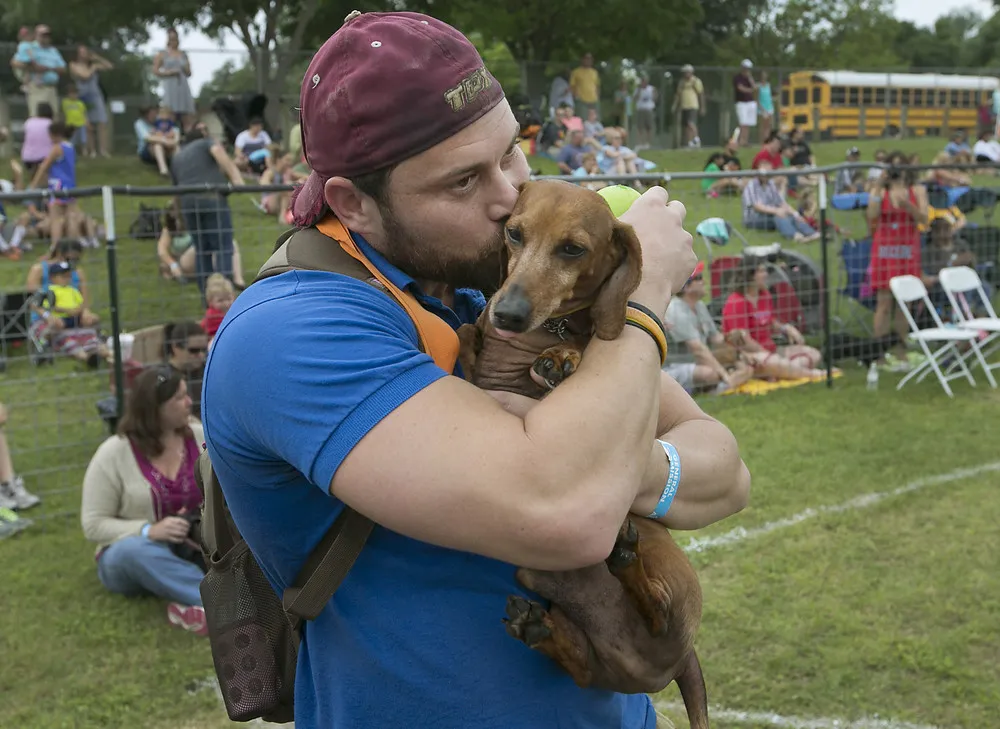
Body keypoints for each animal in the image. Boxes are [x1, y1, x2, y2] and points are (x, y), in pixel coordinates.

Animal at [458, 181, 708, 728]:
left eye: (572, 249)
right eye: (514, 232)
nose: (507, 314)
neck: (540, 334)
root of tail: (670, 663)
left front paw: (563, 360)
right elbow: (467, 335)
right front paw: (472, 342)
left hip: (665, 561)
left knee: (658, 606)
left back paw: (626, 560)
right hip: (545, 587)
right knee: (583, 668)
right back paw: (541, 631)